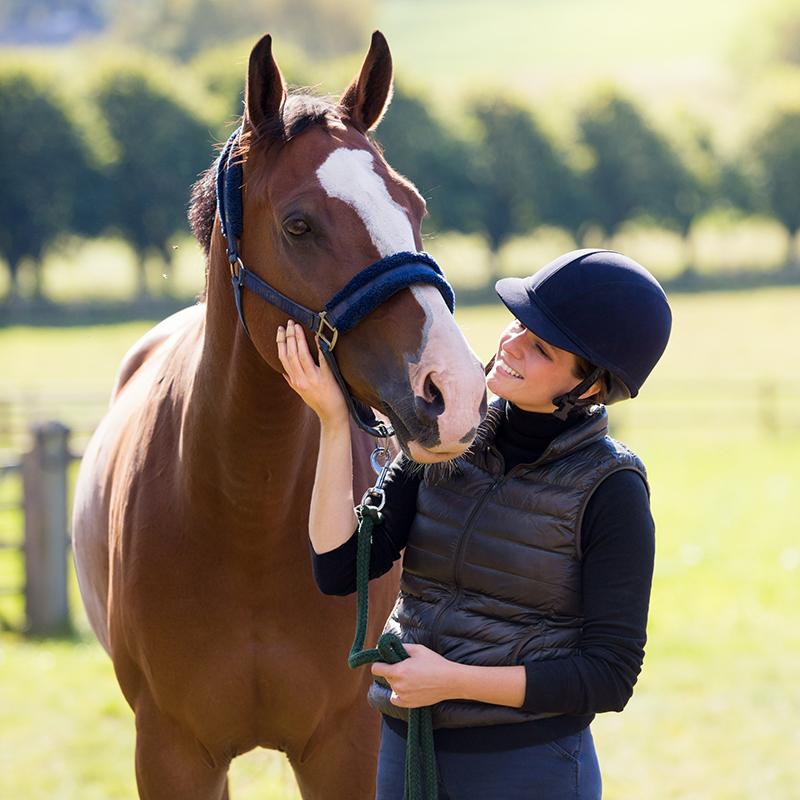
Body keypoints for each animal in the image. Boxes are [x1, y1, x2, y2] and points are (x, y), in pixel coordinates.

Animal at [72, 31, 487, 799]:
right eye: (299, 224)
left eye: (413, 208)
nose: (454, 392)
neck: (245, 517)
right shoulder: (174, 754)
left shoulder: (346, 748)